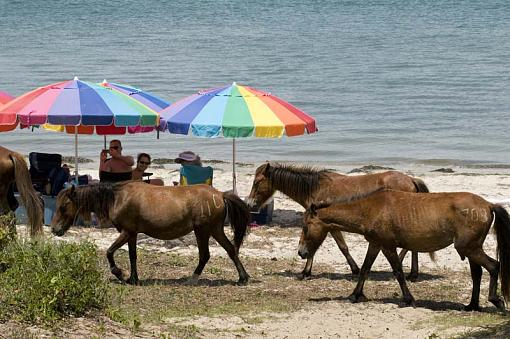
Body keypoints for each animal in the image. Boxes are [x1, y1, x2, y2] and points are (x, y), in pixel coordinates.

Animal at [51, 182, 251, 286]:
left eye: (63, 207)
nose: (54, 229)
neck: (117, 198)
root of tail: (220, 194)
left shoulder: (126, 232)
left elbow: (109, 252)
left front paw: (119, 273)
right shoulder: (132, 234)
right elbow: (132, 256)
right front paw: (133, 278)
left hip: (203, 230)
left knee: (206, 255)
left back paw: (193, 279)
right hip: (213, 230)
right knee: (230, 250)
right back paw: (242, 277)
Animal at [245, 163, 428, 280]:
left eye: (257, 182)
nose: (250, 204)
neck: (315, 188)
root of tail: (411, 180)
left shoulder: (325, 225)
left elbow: (334, 247)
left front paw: (306, 272)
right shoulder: (329, 226)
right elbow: (341, 247)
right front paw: (354, 269)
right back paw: (413, 273)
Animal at [298, 190, 510, 312]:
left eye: (306, 226)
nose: (301, 252)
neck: (370, 209)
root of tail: (488, 205)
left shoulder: (388, 247)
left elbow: (398, 272)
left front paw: (408, 299)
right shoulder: (376, 244)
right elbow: (365, 269)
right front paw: (355, 295)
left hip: (470, 248)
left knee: (493, 266)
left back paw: (495, 301)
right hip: (472, 249)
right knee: (477, 274)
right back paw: (472, 305)